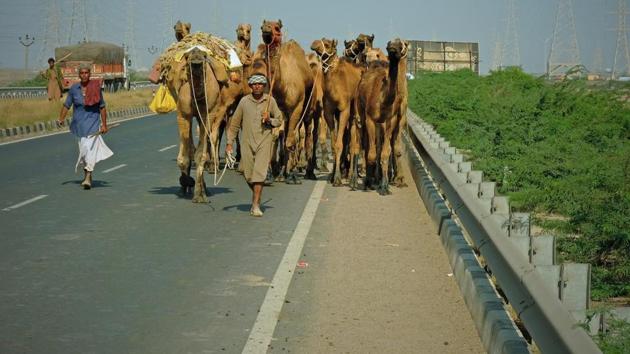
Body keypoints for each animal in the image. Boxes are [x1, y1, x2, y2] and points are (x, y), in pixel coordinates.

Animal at [252, 19, 316, 181]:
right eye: (262, 26)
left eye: (277, 28)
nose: (266, 29)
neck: (283, 87)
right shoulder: (276, 109)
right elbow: (275, 136)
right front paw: (271, 172)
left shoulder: (297, 108)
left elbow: (291, 140)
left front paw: (291, 174)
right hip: (286, 115)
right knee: (287, 133)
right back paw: (282, 170)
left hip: (308, 108)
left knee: (305, 133)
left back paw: (304, 169)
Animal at [312, 37, 366, 189]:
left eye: (327, 45)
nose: (314, 43)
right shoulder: (329, 113)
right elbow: (334, 143)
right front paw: (332, 176)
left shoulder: (344, 110)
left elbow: (340, 144)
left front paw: (337, 178)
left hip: (355, 112)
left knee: (354, 142)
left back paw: (353, 177)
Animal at [358, 38, 412, 196]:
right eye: (389, 43)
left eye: (403, 44)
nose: (392, 48)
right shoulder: (371, 118)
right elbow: (373, 151)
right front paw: (369, 181)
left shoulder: (396, 119)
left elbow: (389, 151)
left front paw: (390, 183)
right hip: (362, 113)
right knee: (368, 144)